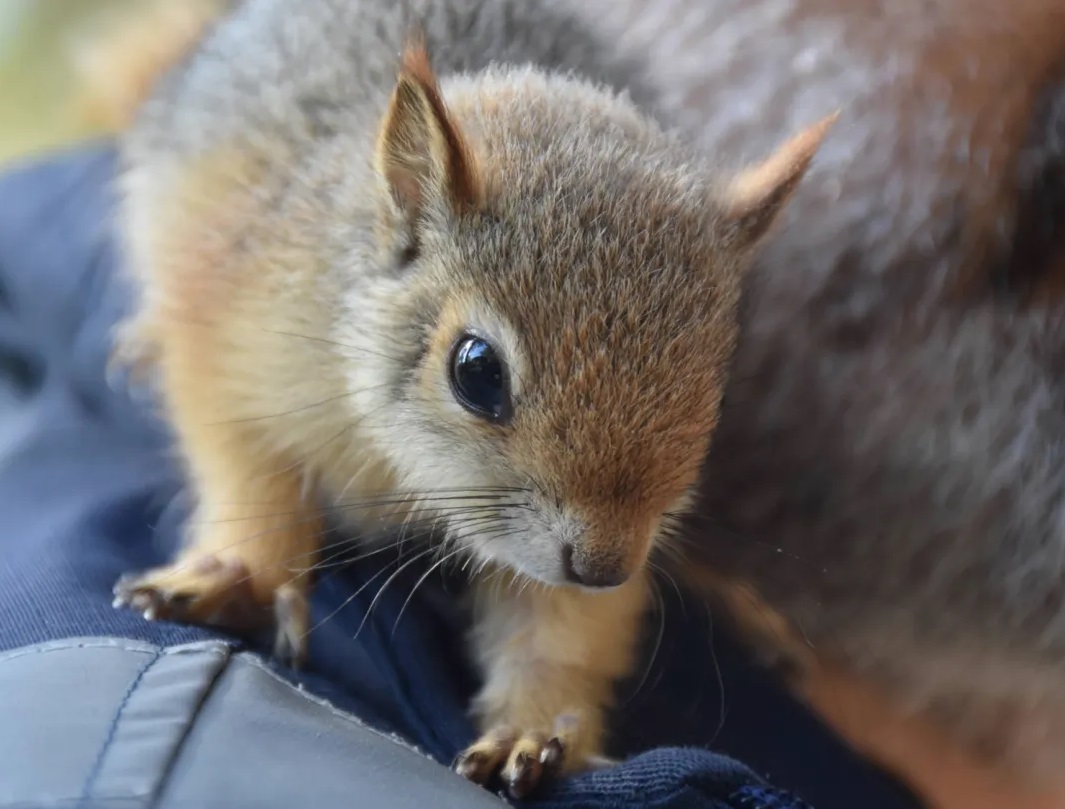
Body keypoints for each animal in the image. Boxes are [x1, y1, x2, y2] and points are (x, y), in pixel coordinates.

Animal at [94, 0, 832, 797]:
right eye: (476, 371)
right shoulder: (230, 331)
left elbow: (564, 628)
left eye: (714, 387)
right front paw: (238, 575)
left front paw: (533, 728)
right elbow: (244, 467)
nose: (604, 566)